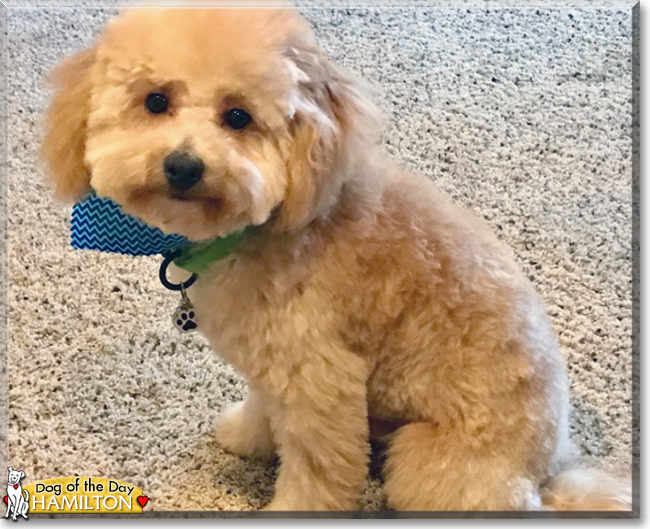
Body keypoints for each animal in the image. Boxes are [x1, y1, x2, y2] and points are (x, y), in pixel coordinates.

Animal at [41, 6, 628, 512]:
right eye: (156, 101)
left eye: (238, 116)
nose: (184, 166)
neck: (265, 230)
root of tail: (546, 471)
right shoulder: (273, 364)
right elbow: (262, 407)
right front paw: (245, 435)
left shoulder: (320, 382)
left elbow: (316, 476)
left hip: (426, 463)